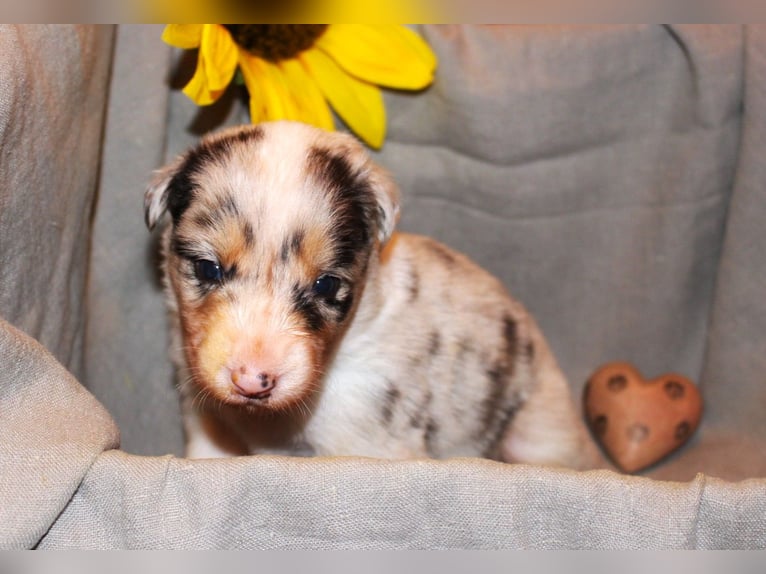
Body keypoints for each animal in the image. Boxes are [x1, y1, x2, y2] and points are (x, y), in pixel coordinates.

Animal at [144, 120, 600, 468]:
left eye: (326, 284)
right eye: (208, 268)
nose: (253, 381)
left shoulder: (368, 436)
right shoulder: (204, 415)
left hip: (540, 432)